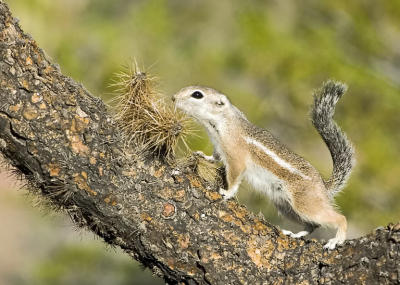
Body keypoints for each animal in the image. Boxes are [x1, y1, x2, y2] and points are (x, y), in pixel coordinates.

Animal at [172, 80, 354, 248]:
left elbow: (234, 176)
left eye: (197, 95)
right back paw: (296, 234)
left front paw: (227, 192)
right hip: (286, 207)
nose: (174, 98)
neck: (224, 121)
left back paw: (336, 240)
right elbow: (214, 158)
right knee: (312, 224)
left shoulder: (235, 156)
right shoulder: (219, 148)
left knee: (339, 218)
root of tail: (324, 187)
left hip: (305, 203)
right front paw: (202, 155)